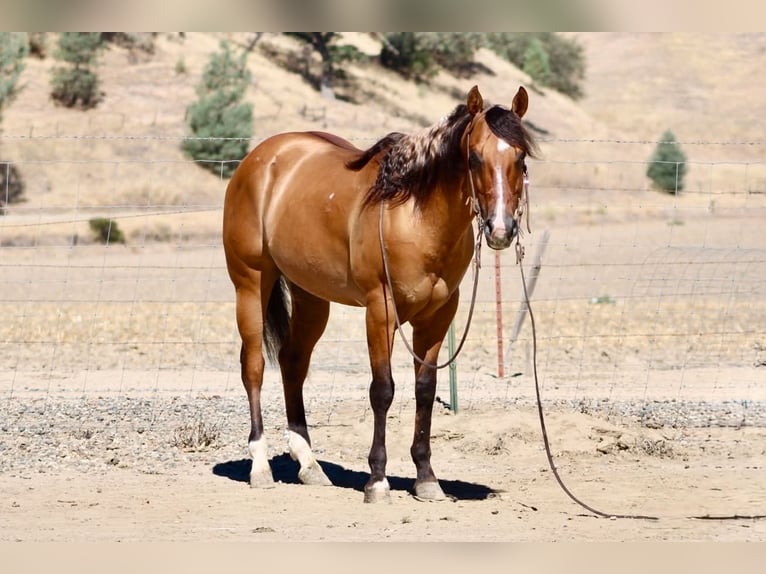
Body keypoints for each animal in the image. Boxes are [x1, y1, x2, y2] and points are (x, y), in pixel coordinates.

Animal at [222, 85, 536, 502]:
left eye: (520, 158)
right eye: (473, 158)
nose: (501, 229)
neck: (416, 217)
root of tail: (259, 159)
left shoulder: (437, 316)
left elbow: (425, 390)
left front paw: (426, 478)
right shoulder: (380, 310)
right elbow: (382, 390)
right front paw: (377, 480)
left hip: (311, 297)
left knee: (293, 363)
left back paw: (309, 465)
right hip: (251, 284)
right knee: (254, 366)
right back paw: (260, 466)